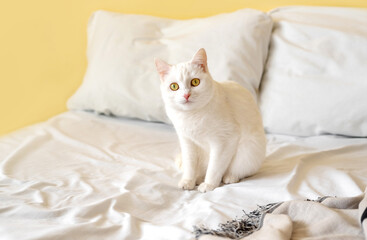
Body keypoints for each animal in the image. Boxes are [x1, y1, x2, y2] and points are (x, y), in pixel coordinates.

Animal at [155, 48, 268, 193]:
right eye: (174, 86)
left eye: (195, 82)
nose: (186, 95)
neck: (192, 116)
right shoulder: (187, 142)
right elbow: (190, 165)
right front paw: (188, 181)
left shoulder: (224, 141)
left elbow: (214, 167)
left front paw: (208, 185)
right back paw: (198, 178)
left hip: (248, 153)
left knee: (240, 171)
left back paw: (230, 177)